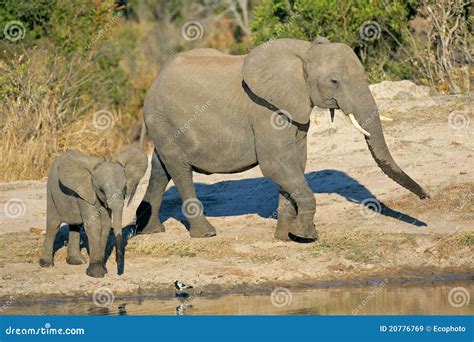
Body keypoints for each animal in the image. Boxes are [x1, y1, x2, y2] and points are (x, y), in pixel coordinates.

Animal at [40, 147, 148, 278]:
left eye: (124, 189)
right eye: (101, 190)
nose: (118, 273)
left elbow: (105, 225)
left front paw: (103, 270)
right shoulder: (85, 193)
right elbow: (94, 225)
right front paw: (96, 274)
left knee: (75, 225)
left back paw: (76, 261)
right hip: (51, 192)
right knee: (53, 224)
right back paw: (46, 264)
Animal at [136, 38, 430, 240]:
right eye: (334, 81)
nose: (426, 197)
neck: (305, 53)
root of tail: (155, 79)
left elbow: (295, 165)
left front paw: (287, 237)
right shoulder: (266, 111)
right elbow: (276, 165)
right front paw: (305, 235)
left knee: (161, 169)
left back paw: (149, 230)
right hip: (161, 117)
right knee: (179, 170)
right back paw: (205, 234)